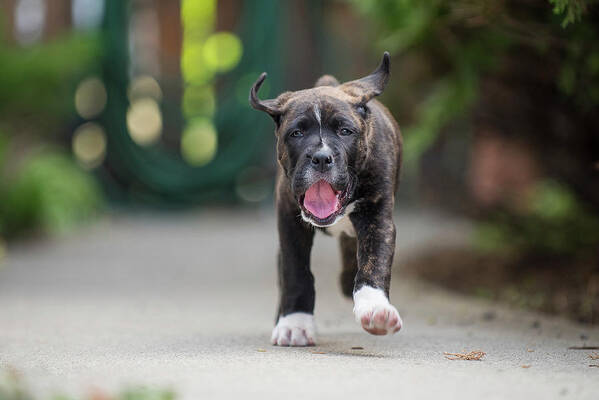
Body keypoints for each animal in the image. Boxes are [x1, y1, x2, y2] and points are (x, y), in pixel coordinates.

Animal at [248, 52, 404, 346]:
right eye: (296, 133)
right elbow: (295, 272)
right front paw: (295, 323)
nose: (321, 157)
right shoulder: (289, 221)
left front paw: (375, 308)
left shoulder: (378, 218)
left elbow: (374, 261)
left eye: (345, 131)